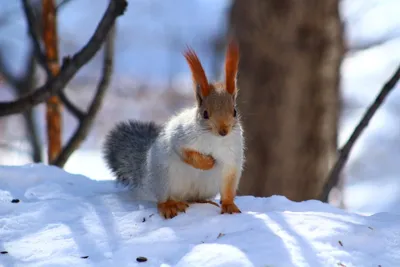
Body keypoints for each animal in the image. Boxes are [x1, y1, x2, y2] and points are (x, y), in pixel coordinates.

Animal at [103, 39, 244, 220]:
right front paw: (206, 162)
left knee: (193, 198)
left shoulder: (232, 156)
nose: (223, 131)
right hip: (163, 176)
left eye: (234, 111)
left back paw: (202, 201)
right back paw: (169, 206)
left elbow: (229, 182)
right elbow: (184, 152)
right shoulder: (180, 136)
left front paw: (229, 205)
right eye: (205, 113)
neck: (214, 139)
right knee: (164, 199)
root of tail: (147, 179)